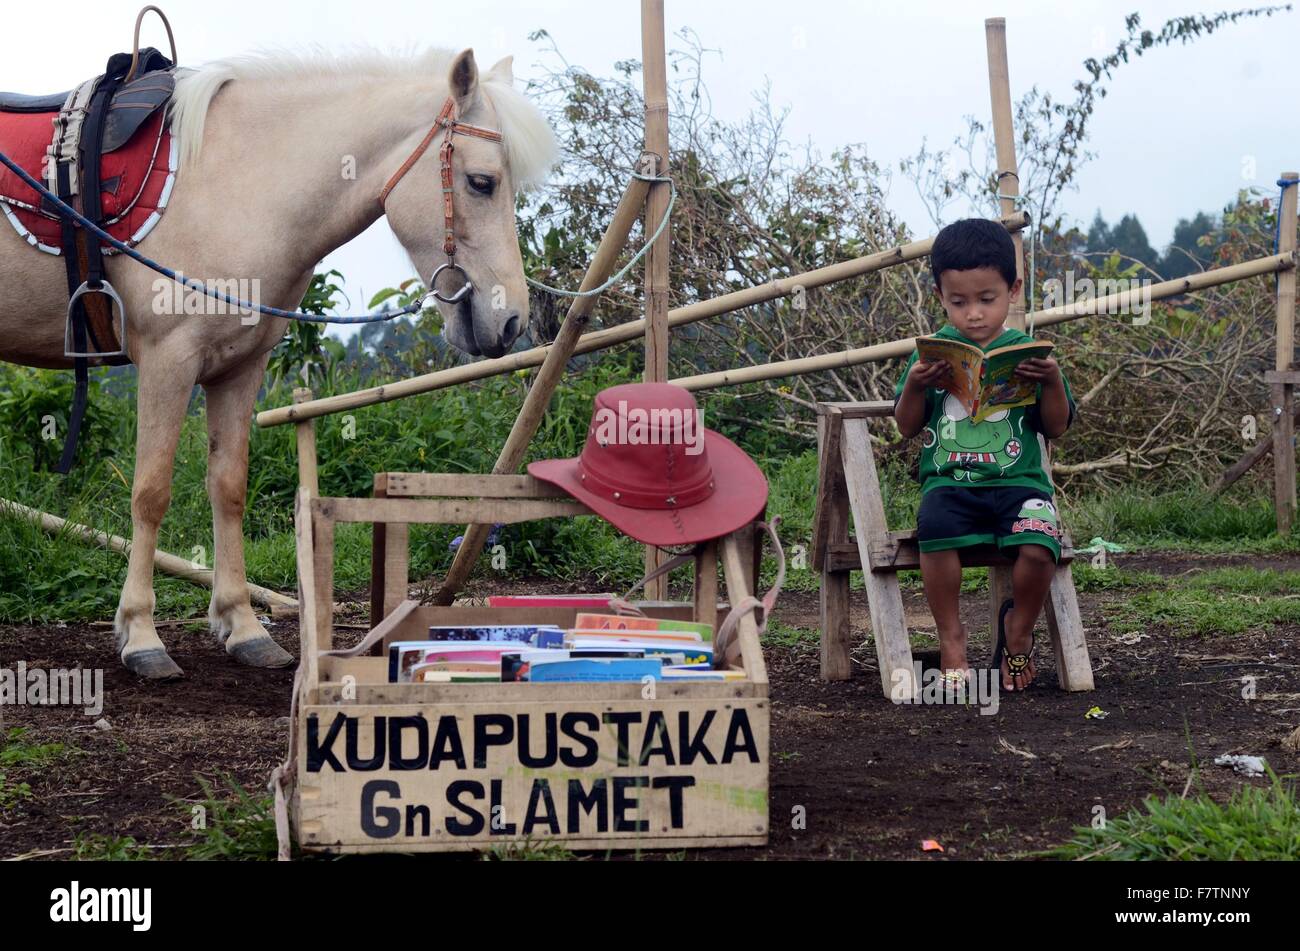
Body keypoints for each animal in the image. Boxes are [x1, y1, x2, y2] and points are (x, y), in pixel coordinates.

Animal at [0, 48, 553, 680]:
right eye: (482, 182)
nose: (510, 321)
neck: (232, 179)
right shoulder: (168, 361)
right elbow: (151, 492)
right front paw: (141, 635)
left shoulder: (238, 369)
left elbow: (228, 487)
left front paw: (243, 627)